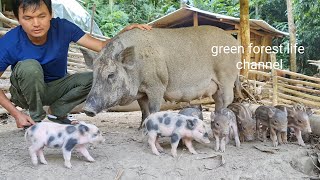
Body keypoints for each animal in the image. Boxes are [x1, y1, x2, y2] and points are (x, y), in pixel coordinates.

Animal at [81, 26, 241, 128]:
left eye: (111, 74)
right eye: (94, 73)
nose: (87, 109)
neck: (137, 66)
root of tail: (236, 43)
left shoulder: (157, 84)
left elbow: (153, 108)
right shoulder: (142, 92)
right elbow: (144, 109)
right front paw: (141, 128)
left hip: (227, 76)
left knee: (227, 99)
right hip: (217, 85)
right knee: (218, 101)